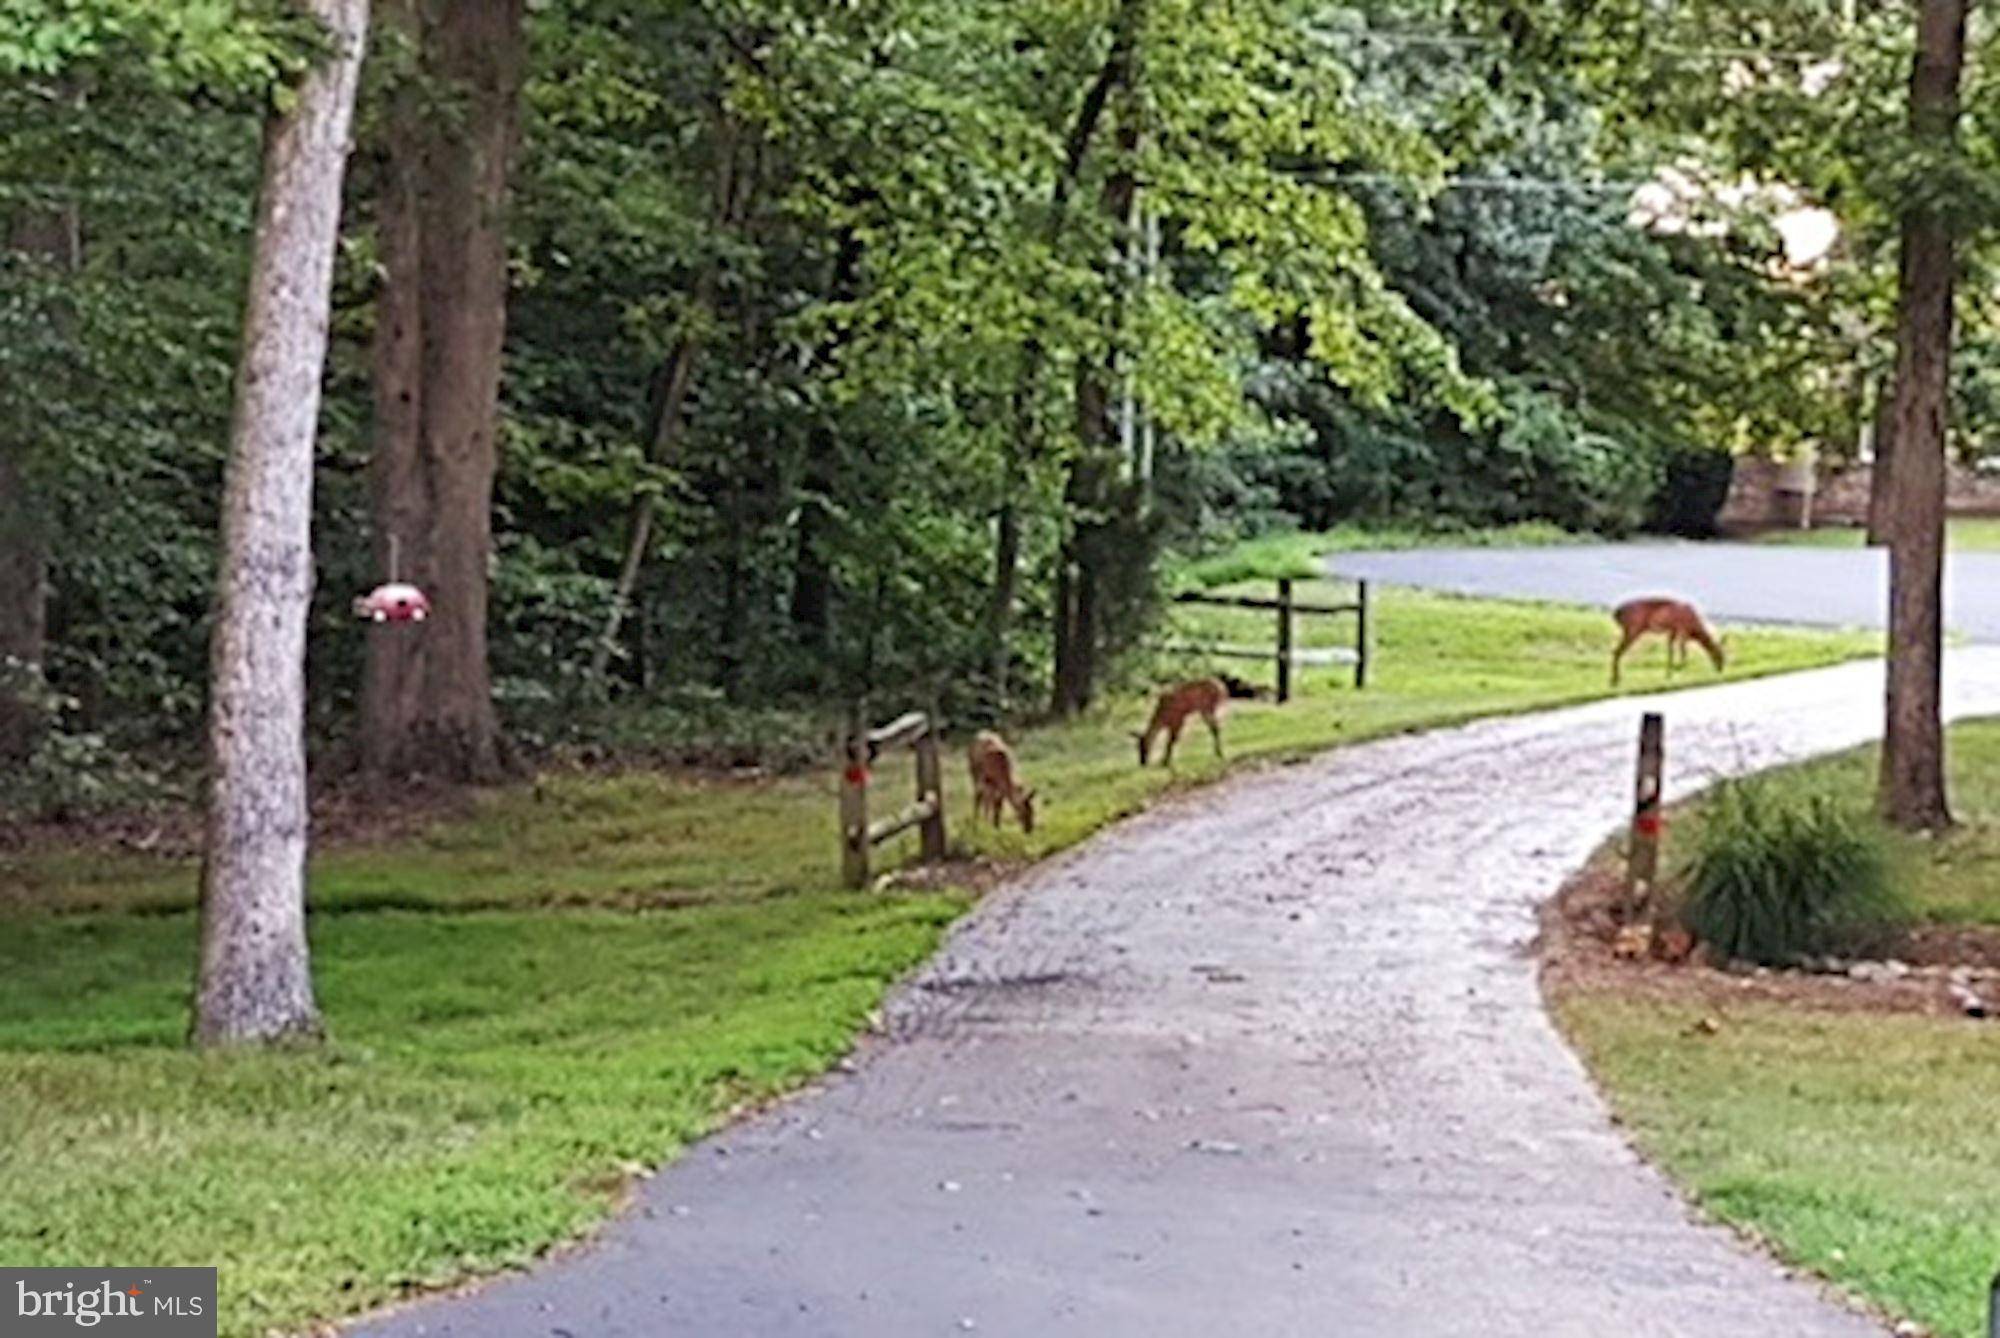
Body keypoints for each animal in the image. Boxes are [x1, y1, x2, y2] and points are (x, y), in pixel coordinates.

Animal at [1600, 596, 1728, 684]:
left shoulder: (1672, 632)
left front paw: (1668, 675)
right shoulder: (1682, 631)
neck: (1695, 629)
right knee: (1617, 651)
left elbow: (1670, 653)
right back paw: (1615, 680)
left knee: (1615, 651)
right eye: (1719, 655)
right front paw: (1677, 668)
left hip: (1630, 631)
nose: (1720, 669)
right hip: (1633, 630)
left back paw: (1615, 679)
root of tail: (1616, 613)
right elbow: (1683, 653)